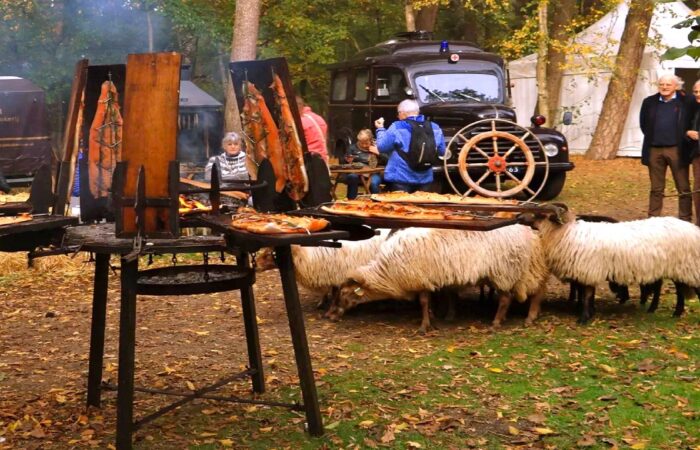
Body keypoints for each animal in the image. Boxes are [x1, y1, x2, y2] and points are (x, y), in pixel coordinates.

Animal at [330, 225, 548, 334]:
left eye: (344, 294)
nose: (331, 317)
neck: (387, 272)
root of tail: (528, 233)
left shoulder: (420, 279)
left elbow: (423, 301)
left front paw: (424, 327)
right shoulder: (433, 279)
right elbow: (436, 299)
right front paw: (436, 318)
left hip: (504, 271)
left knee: (505, 299)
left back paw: (497, 323)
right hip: (517, 270)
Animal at [524, 209, 700, 322]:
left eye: (540, 215)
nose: (520, 217)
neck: (565, 234)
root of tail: (693, 228)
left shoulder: (589, 269)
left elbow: (587, 294)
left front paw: (583, 318)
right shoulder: (587, 272)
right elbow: (586, 293)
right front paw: (588, 313)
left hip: (688, 265)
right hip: (677, 268)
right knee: (678, 289)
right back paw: (673, 312)